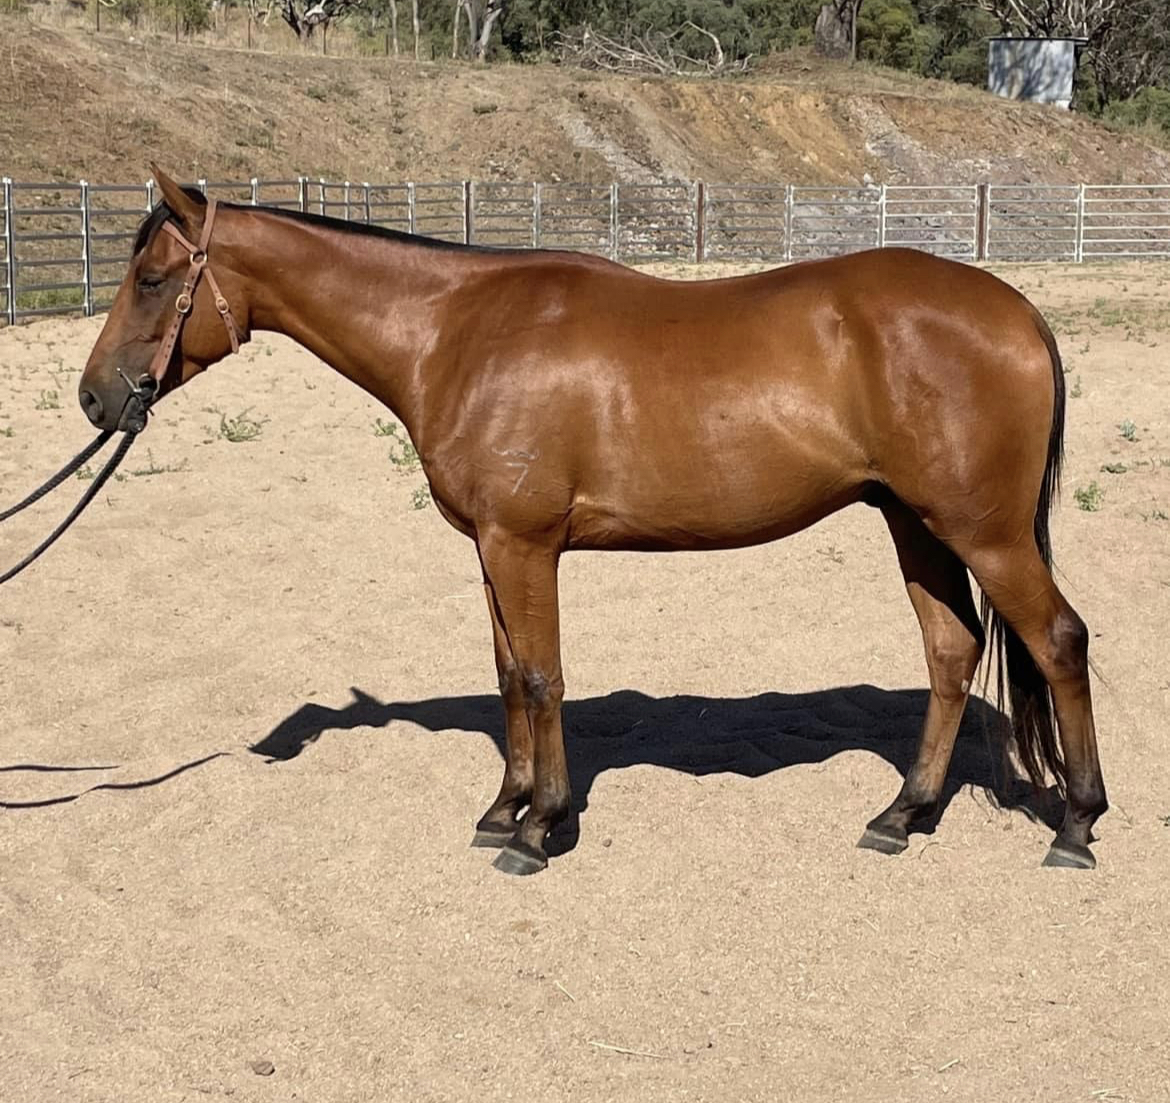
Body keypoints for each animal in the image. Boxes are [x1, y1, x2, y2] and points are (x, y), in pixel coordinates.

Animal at [77, 166, 1108, 876]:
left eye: (153, 278)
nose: (95, 398)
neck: (454, 332)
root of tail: (1015, 311)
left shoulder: (525, 545)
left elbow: (541, 676)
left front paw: (539, 827)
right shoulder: (493, 549)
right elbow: (507, 677)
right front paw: (504, 808)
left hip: (984, 532)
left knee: (1058, 639)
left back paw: (1076, 822)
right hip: (916, 523)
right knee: (951, 648)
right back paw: (903, 813)